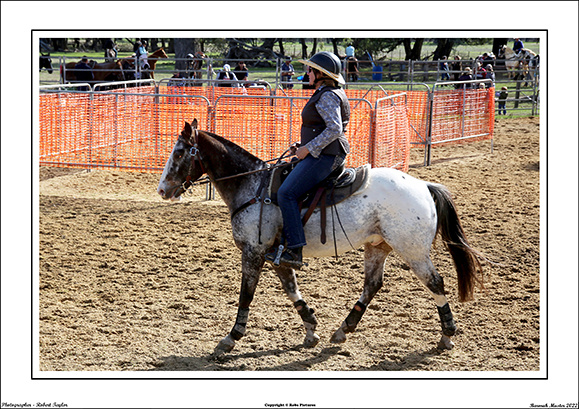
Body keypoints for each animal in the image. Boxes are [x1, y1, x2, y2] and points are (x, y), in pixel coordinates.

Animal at [157, 118, 484, 354]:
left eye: (180, 152)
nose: (162, 190)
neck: (252, 186)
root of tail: (424, 186)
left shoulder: (253, 253)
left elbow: (246, 295)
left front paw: (231, 338)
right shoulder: (277, 257)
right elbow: (292, 291)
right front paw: (311, 329)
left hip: (413, 251)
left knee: (436, 283)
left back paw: (447, 335)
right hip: (378, 247)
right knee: (372, 285)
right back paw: (343, 329)